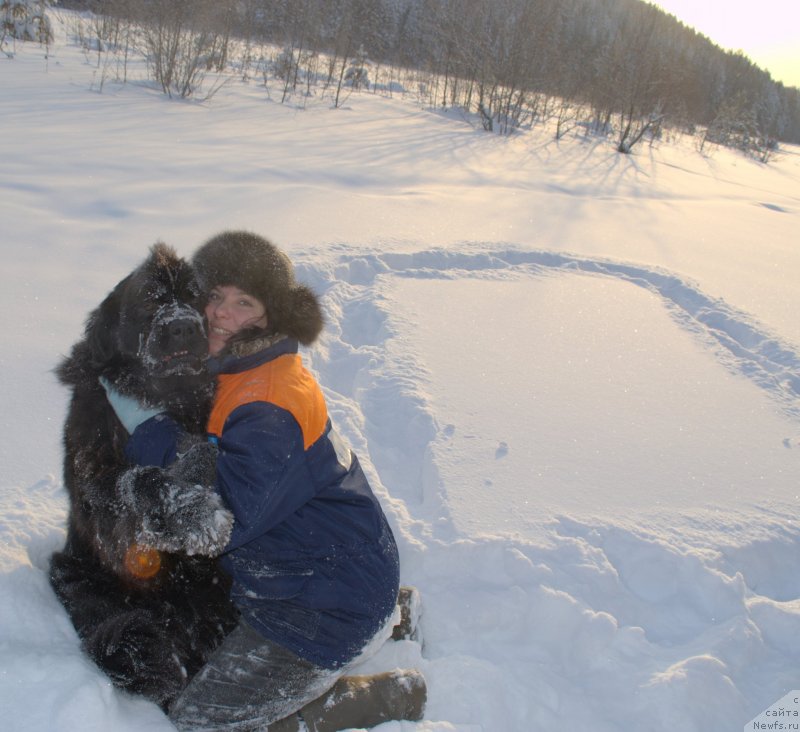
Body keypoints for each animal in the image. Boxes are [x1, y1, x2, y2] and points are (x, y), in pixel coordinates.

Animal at [48, 243, 238, 708]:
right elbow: (135, 484)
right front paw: (193, 514)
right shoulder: (96, 479)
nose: (183, 327)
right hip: (83, 579)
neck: (168, 398)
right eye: (151, 301)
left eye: (194, 297)